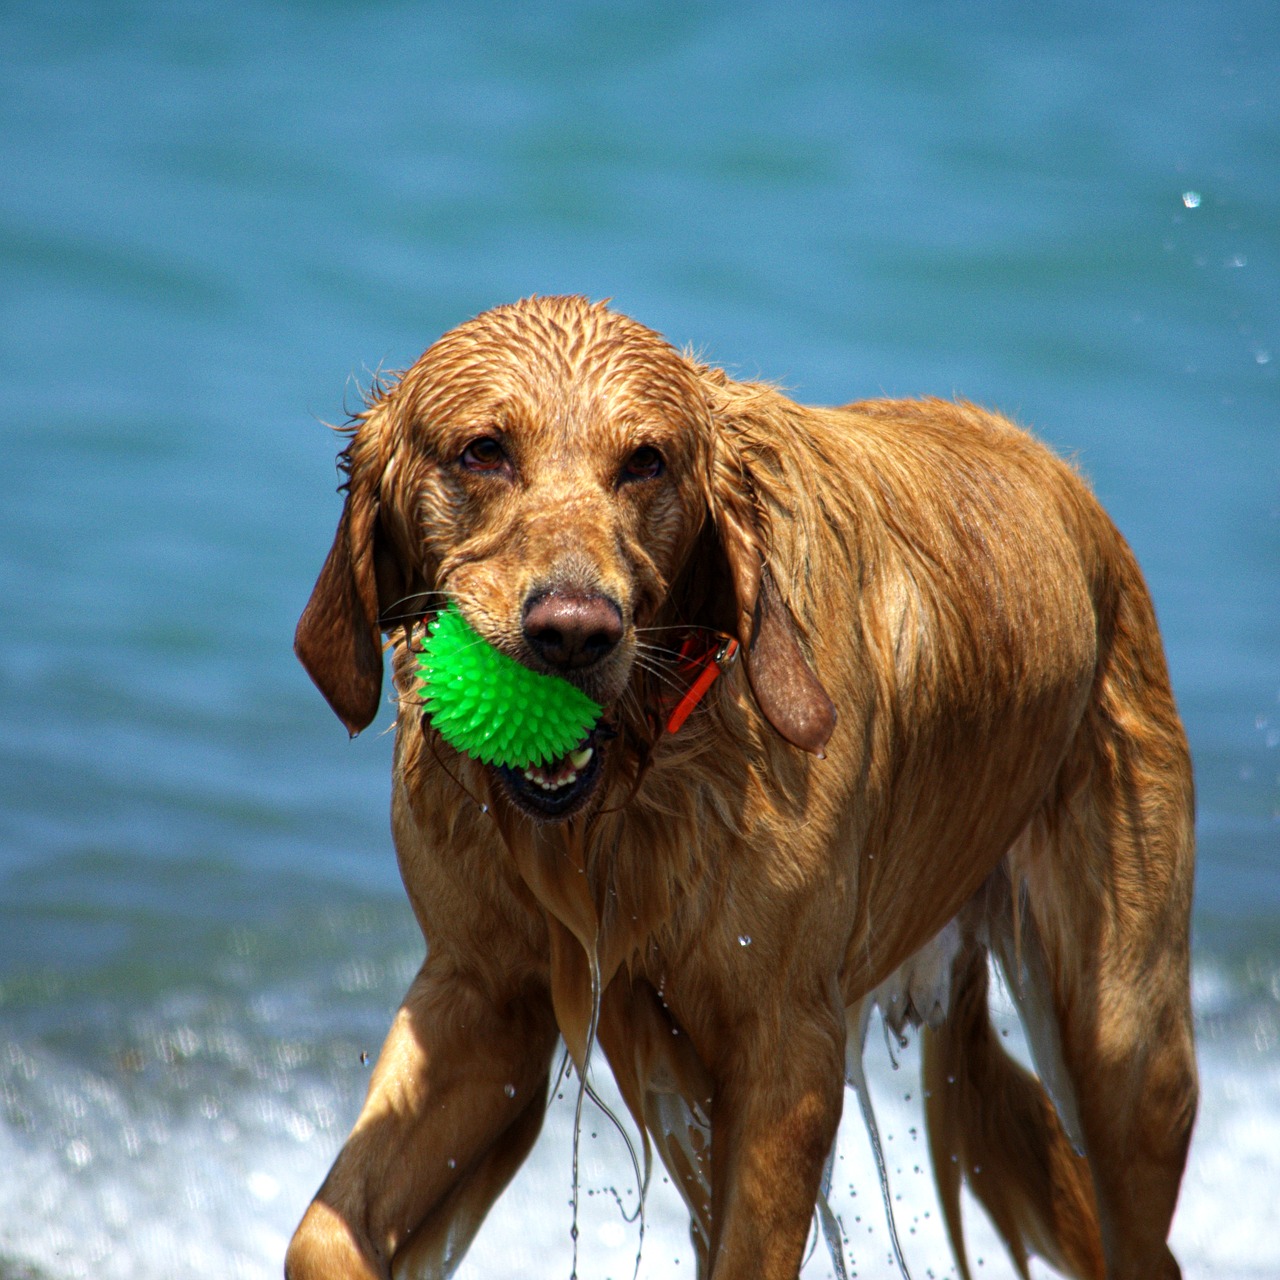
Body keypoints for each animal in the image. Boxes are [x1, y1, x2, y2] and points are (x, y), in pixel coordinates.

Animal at [285, 296, 1192, 1280]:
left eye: (646, 462)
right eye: (483, 451)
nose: (574, 631)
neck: (635, 794)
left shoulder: (786, 1050)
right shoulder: (483, 999)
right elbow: (324, 1233)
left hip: (1128, 1038)